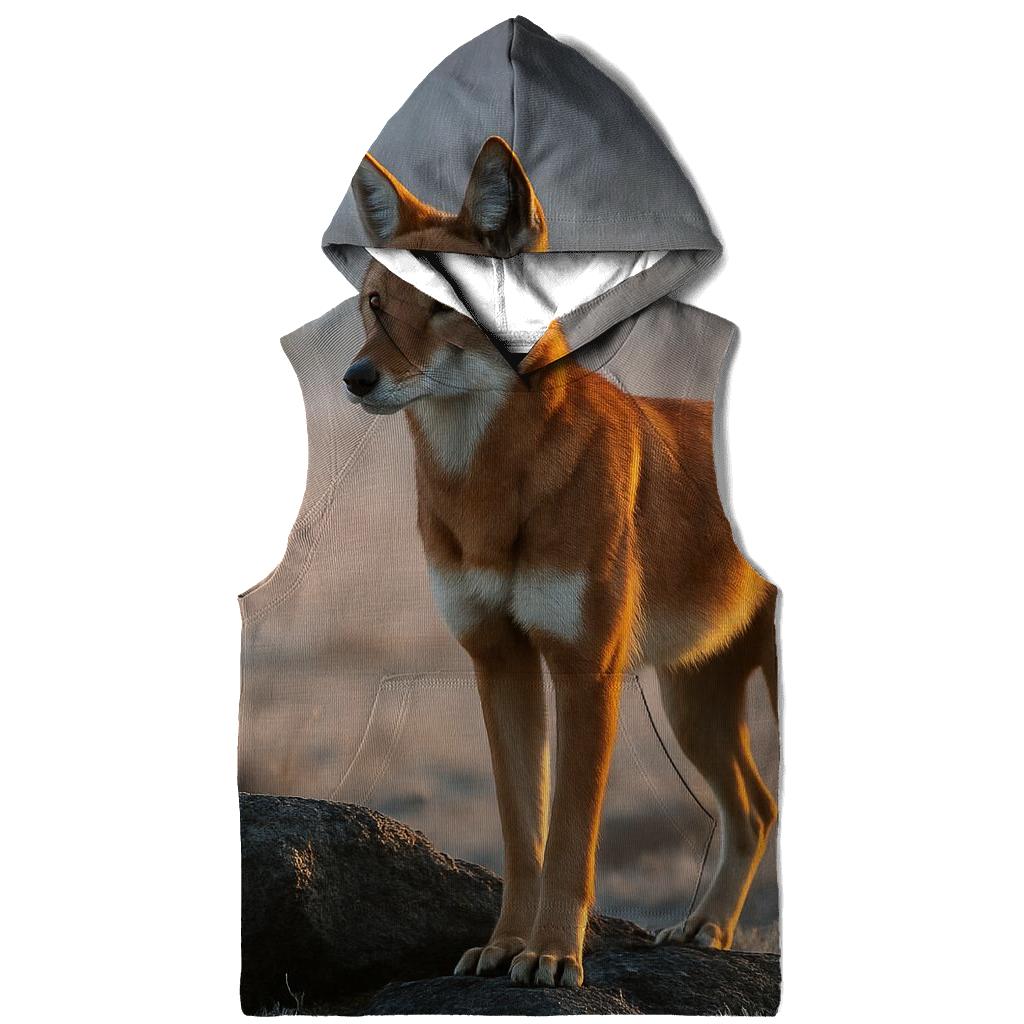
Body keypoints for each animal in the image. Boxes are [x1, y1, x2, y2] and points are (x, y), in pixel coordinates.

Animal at [343, 136, 778, 988]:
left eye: (444, 305)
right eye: (376, 304)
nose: (355, 378)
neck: (487, 490)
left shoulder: (584, 673)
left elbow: (573, 840)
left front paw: (550, 955)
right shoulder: (500, 664)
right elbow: (524, 837)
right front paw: (504, 946)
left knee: (758, 807)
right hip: (692, 706)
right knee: (754, 808)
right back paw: (705, 929)